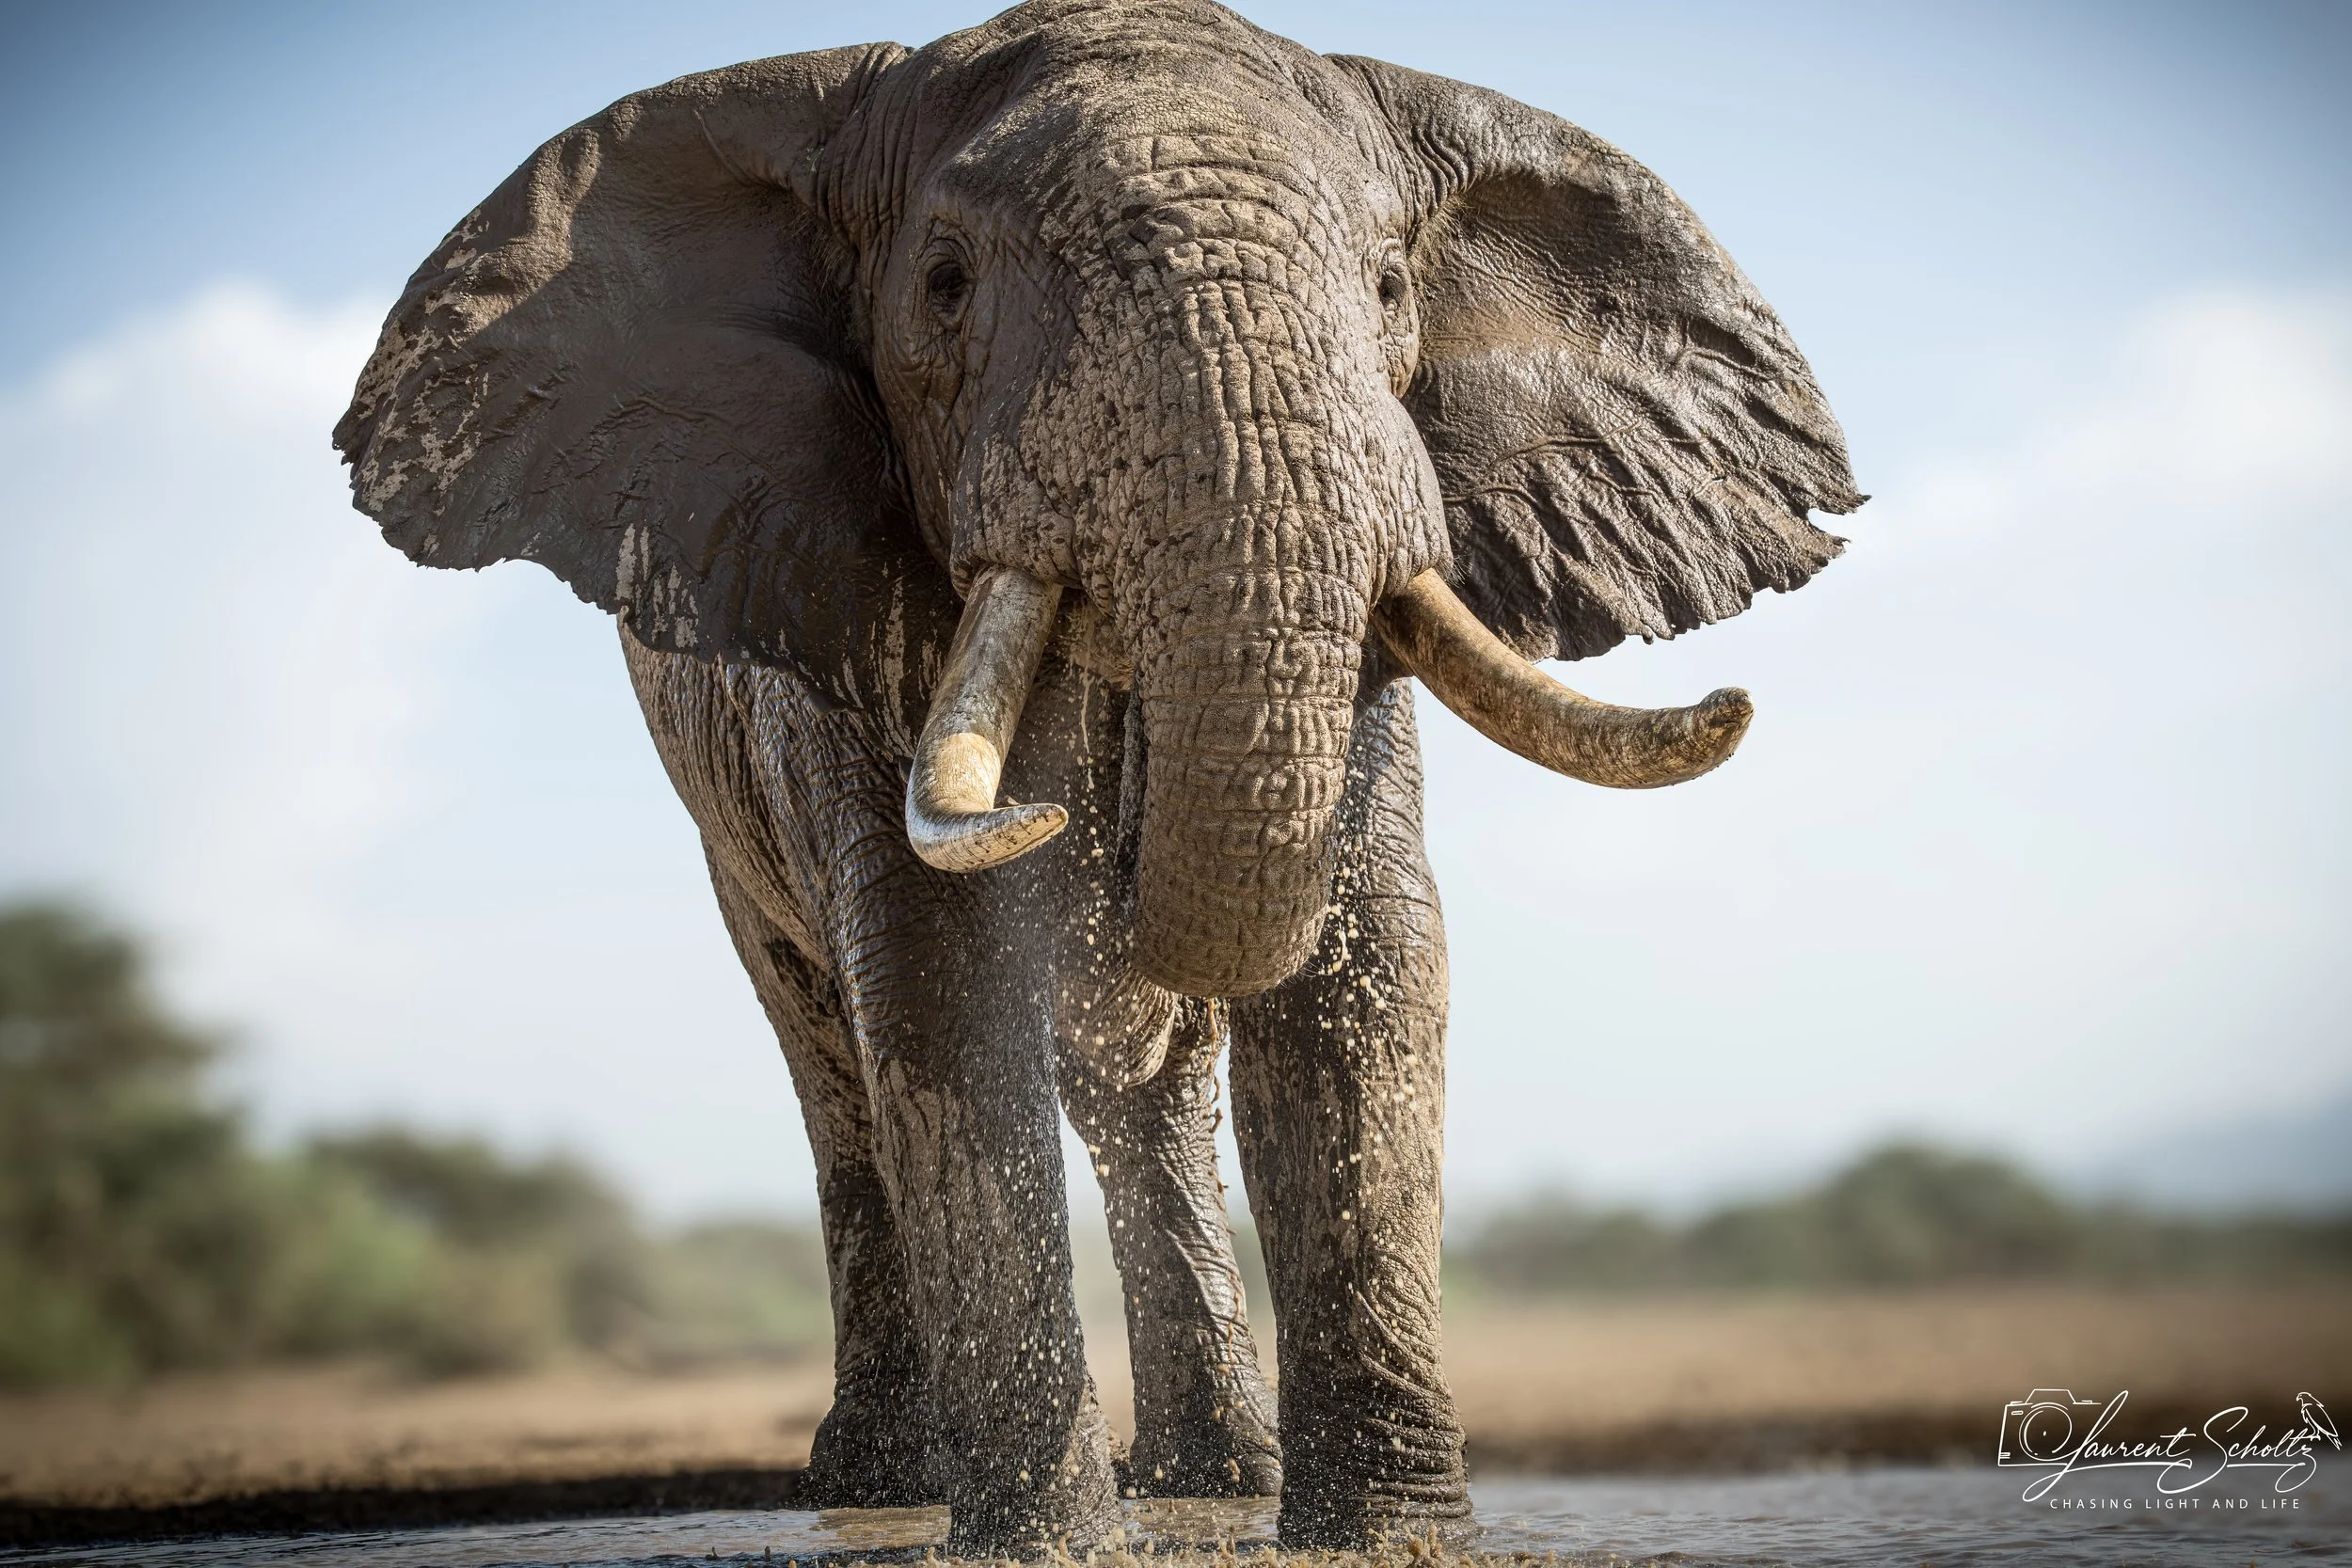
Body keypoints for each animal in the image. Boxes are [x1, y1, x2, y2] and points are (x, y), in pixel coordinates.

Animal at [333, 0, 1860, 1551]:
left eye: (1387, 286)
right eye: (944, 284)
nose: (1061, 820)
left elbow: (1367, 961)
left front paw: (1388, 1534)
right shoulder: (820, 605)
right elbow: (940, 980)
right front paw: (1044, 1541)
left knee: (1155, 1104)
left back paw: (1218, 1474)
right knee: (834, 1064)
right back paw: (884, 1480)